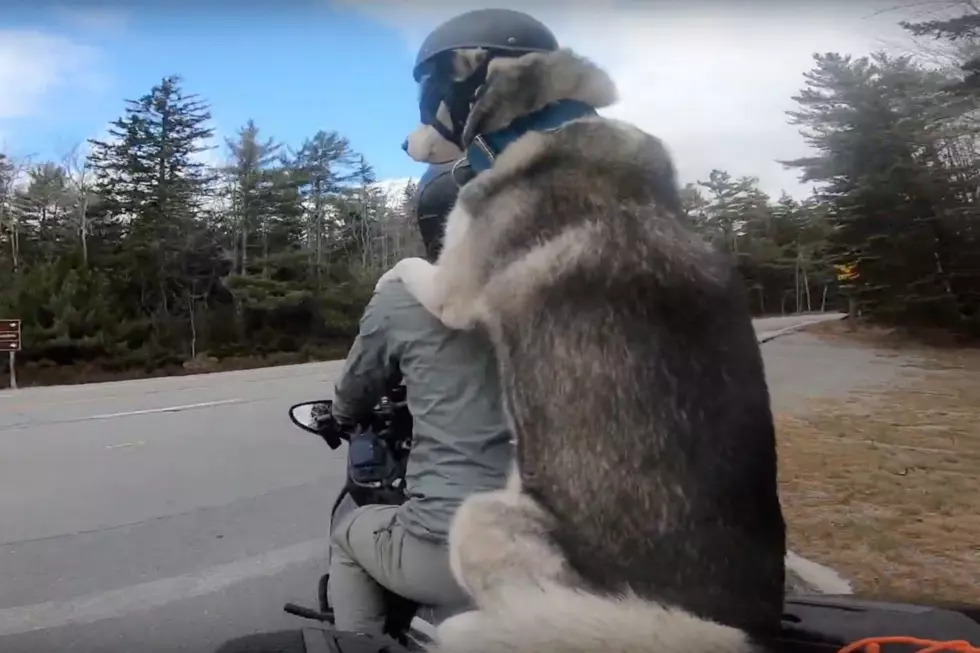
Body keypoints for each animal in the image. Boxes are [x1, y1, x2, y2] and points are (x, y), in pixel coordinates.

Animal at [382, 47, 788, 652]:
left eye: (425, 102)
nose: (404, 144)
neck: (541, 118)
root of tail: (745, 630)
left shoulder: (450, 289)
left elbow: (404, 265)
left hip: (481, 521)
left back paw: (467, 628)